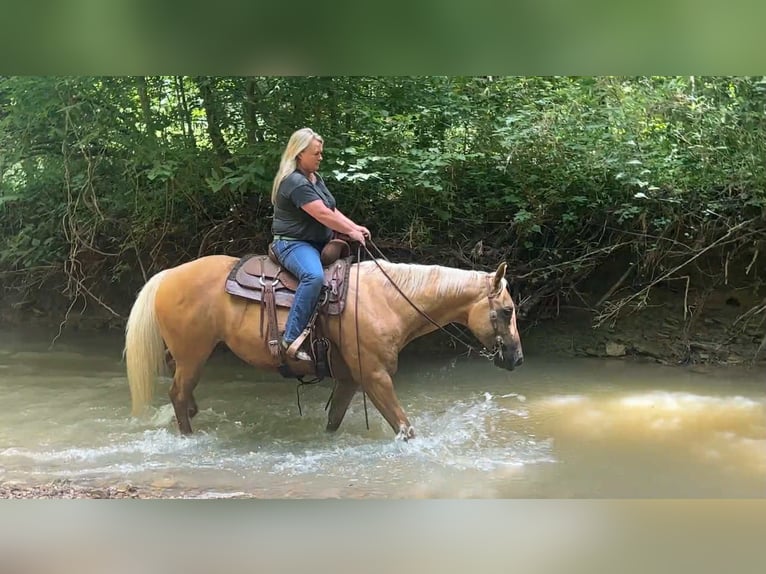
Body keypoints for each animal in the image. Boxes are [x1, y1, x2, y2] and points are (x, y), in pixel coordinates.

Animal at [124, 254, 524, 440]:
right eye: (507, 310)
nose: (517, 359)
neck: (387, 300)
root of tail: (168, 275)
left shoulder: (349, 379)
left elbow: (333, 422)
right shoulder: (375, 376)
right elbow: (405, 428)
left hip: (187, 356)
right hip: (193, 355)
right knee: (177, 394)